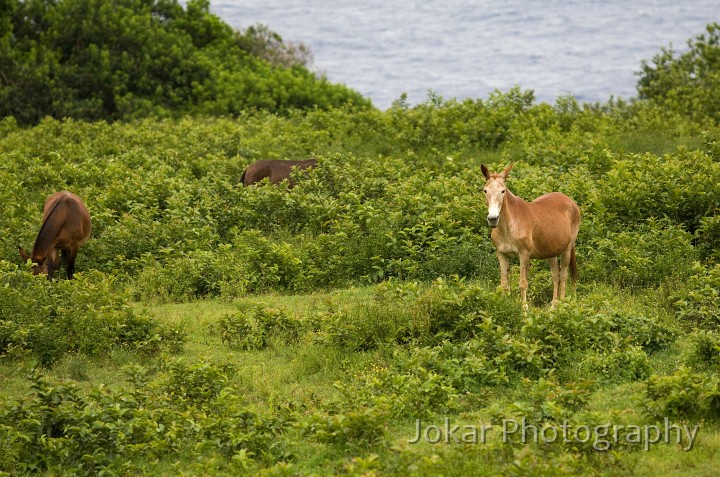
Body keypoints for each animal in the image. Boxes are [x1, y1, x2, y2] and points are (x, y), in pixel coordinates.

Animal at [480, 165, 584, 308]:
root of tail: (571, 202)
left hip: (567, 249)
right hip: (550, 253)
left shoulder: (524, 255)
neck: (508, 227)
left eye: (503, 191)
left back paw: (562, 305)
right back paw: (553, 307)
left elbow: (523, 284)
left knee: (563, 275)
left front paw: (524, 310)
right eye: (485, 190)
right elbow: (504, 284)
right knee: (556, 275)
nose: (492, 219)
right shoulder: (502, 255)